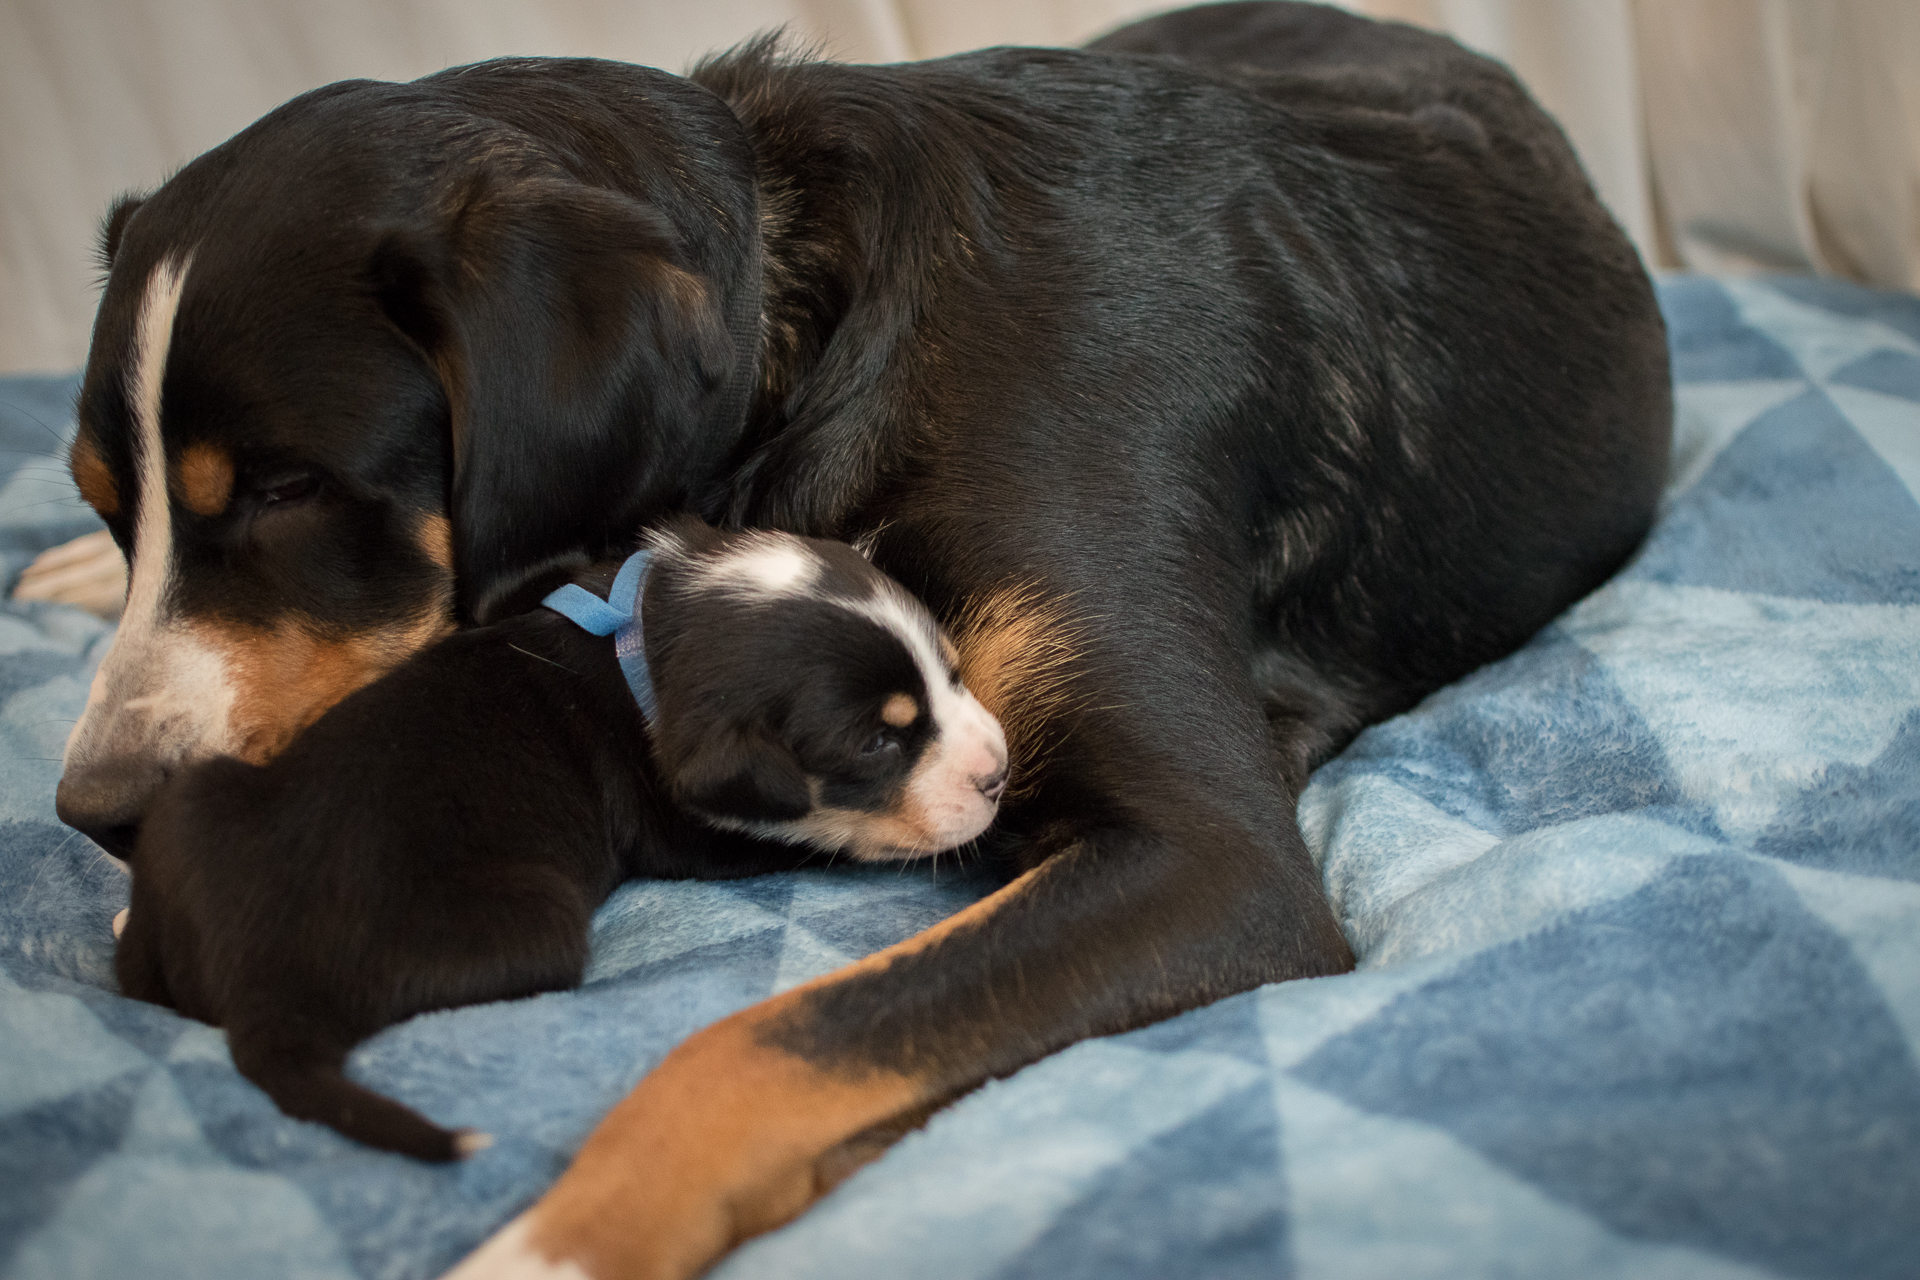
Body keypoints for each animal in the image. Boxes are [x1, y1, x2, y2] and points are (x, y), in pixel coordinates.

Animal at [116, 515, 1009, 1160]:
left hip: (191, 798)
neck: (644, 640)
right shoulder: (681, 828)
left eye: (953, 671)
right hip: (536, 915)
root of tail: (264, 993)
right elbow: (811, 836)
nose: (1001, 771)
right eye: (877, 743)